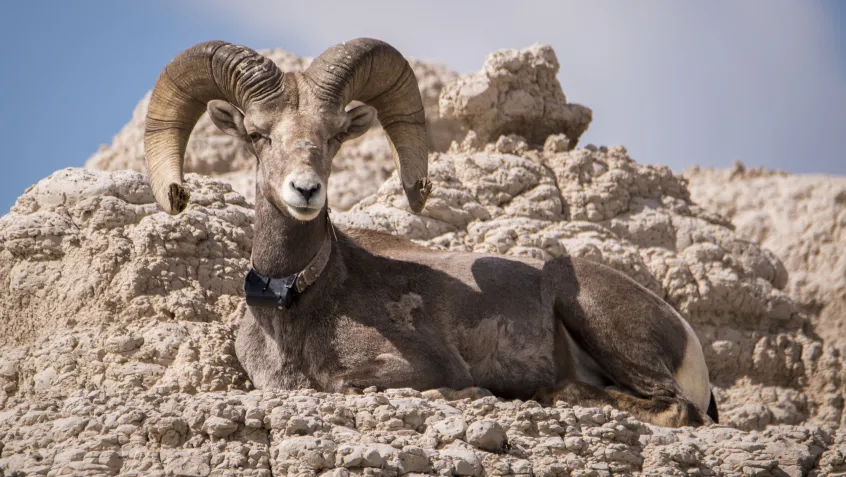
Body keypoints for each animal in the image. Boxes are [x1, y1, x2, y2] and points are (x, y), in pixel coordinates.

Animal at [146, 39, 724, 426]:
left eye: (335, 136)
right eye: (257, 135)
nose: (305, 191)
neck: (297, 302)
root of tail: (685, 333)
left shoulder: (414, 368)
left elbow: (350, 384)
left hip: (590, 310)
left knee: (673, 408)